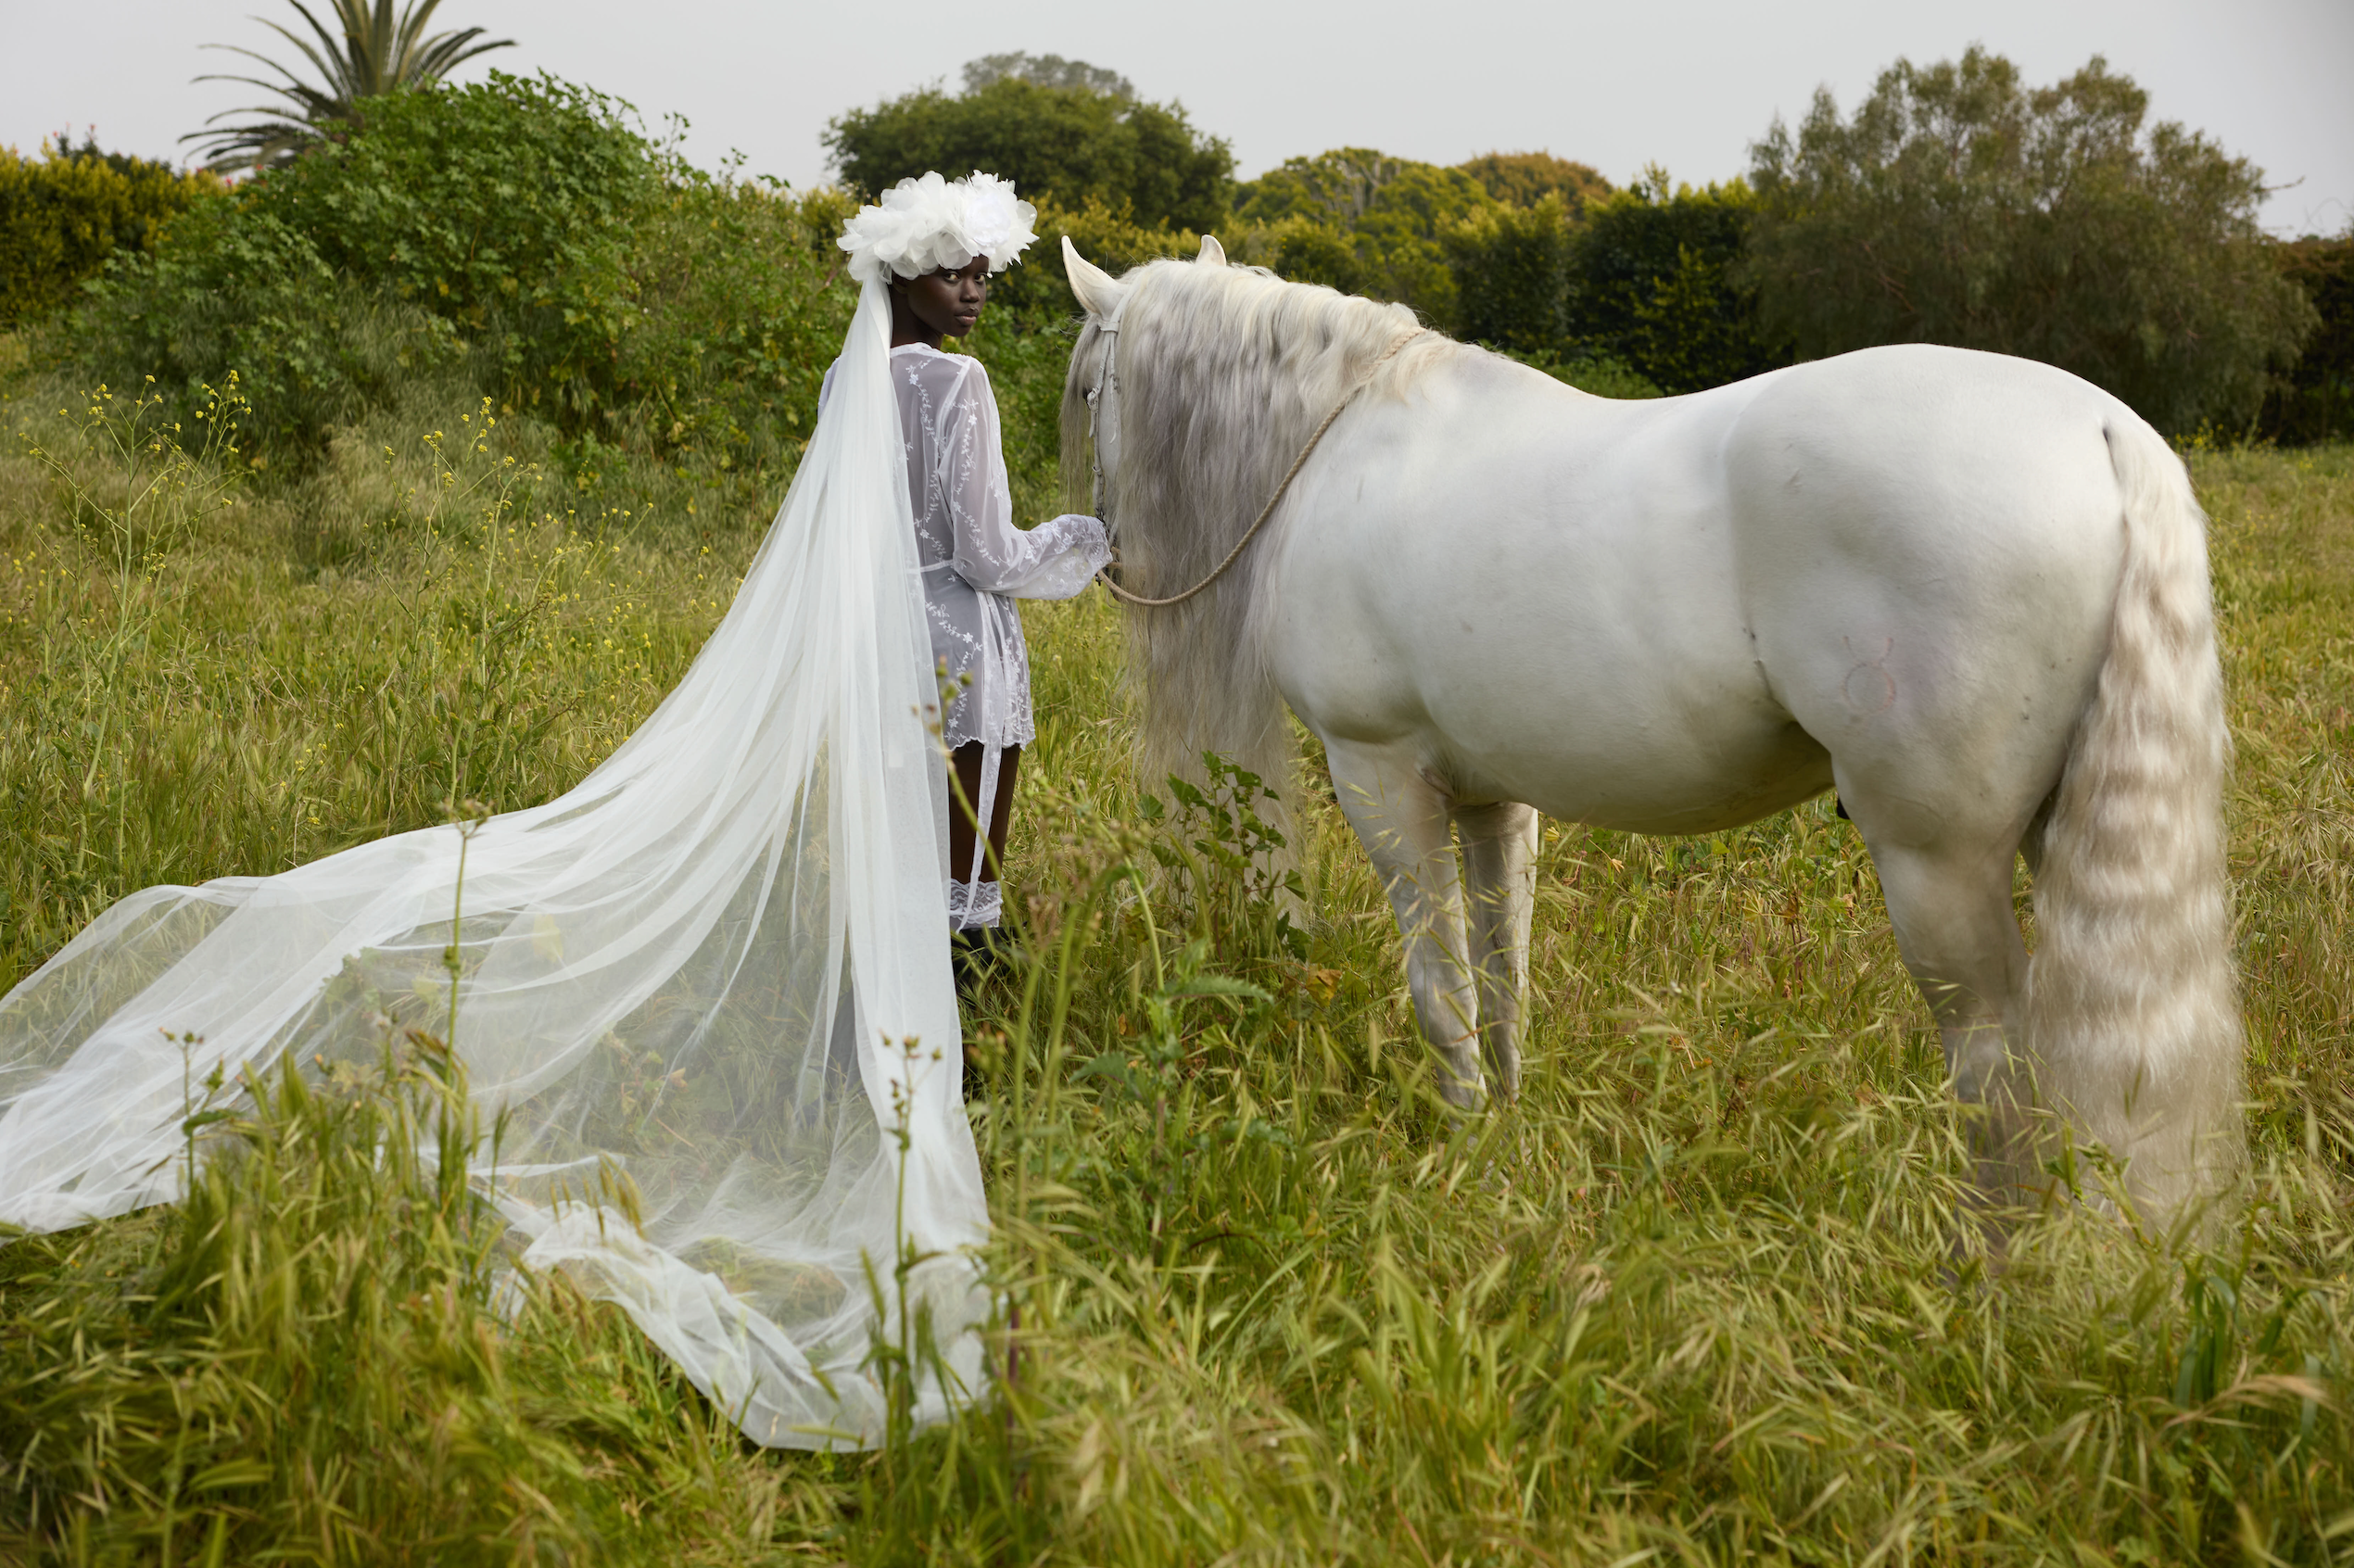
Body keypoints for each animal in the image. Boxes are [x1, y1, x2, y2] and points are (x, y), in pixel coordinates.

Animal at [1064, 232, 2241, 1224]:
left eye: (1082, 388)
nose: (1104, 552)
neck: (1343, 444)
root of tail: (2100, 432)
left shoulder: (1378, 775)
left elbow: (1440, 988)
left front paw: (1454, 1146)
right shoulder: (1491, 799)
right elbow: (1503, 976)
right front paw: (1502, 1132)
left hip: (1935, 865)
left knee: (1995, 1076)